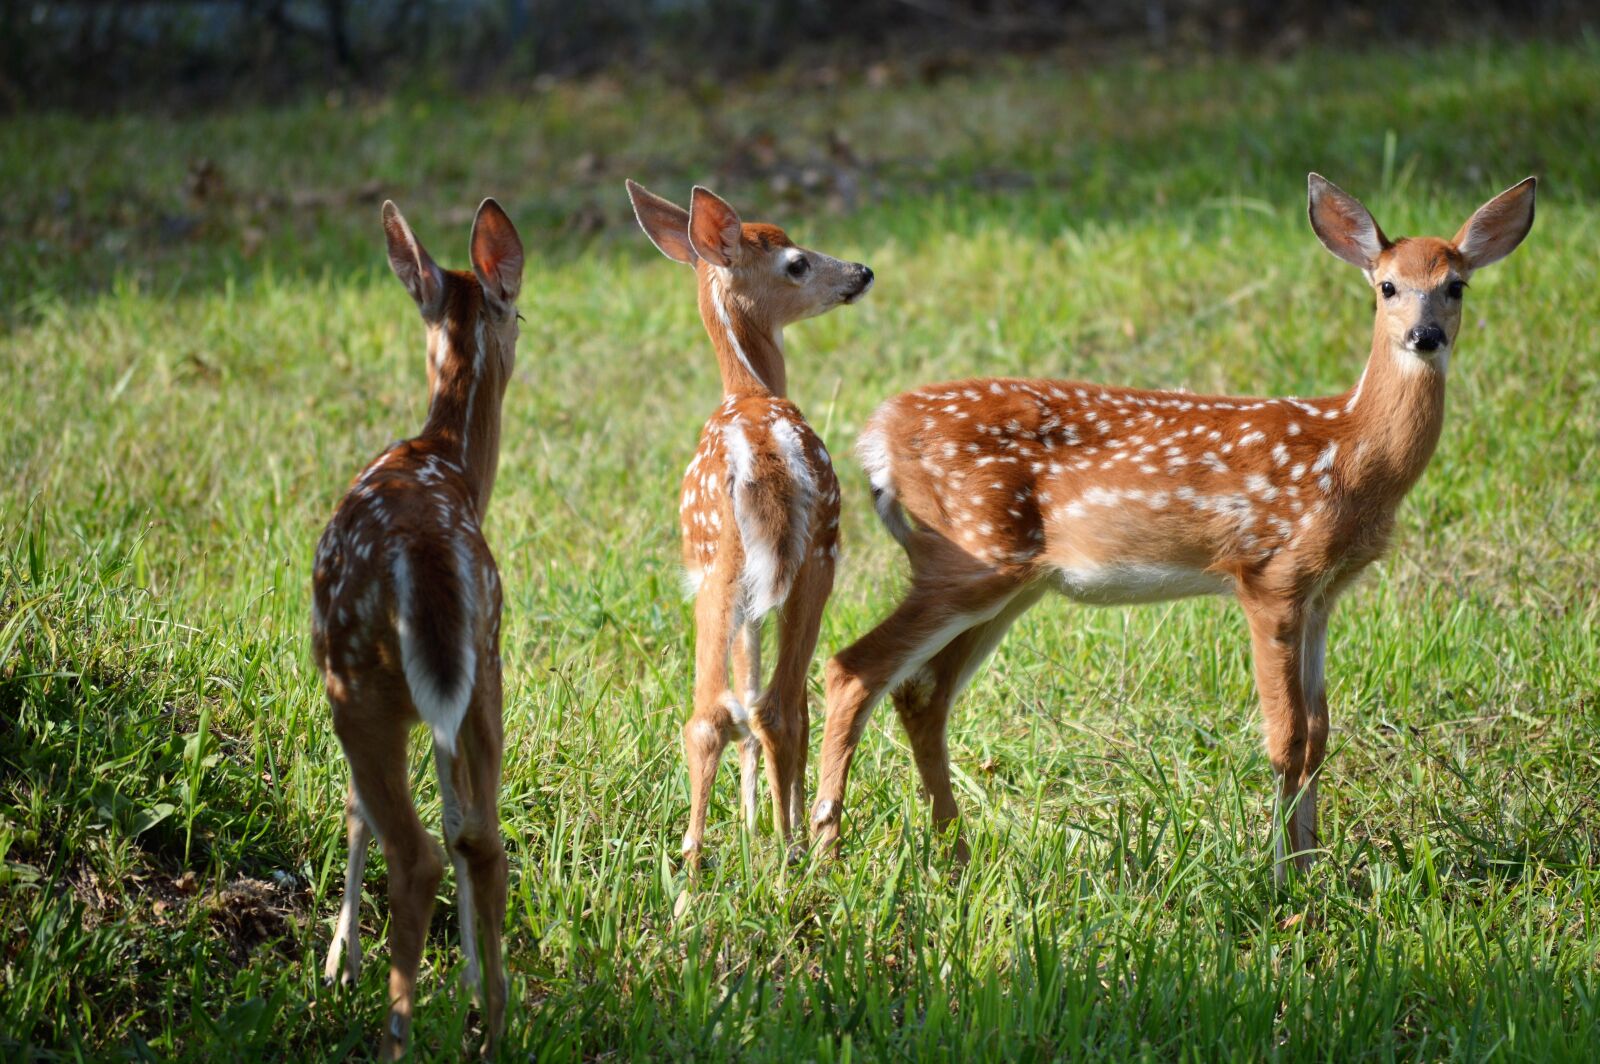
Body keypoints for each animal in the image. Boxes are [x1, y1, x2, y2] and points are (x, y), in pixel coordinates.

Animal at [625, 180, 874, 869]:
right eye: (797, 262)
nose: (862, 271)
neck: (749, 389)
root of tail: (764, 461)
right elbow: (755, 690)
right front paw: (754, 819)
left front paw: (749, 821)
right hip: (807, 561)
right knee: (778, 704)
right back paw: (785, 852)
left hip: (727, 567)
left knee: (723, 710)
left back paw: (697, 859)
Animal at [809, 174, 1535, 882]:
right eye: (1387, 286)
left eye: (1456, 285)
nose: (1425, 336)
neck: (1349, 453)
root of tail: (875, 436)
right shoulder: (1269, 572)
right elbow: (1287, 738)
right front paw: (1284, 883)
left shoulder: (1323, 591)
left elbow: (1321, 733)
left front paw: (1314, 871)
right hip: (972, 554)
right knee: (855, 668)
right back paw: (825, 855)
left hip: (1006, 580)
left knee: (921, 694)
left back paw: (955, 859)